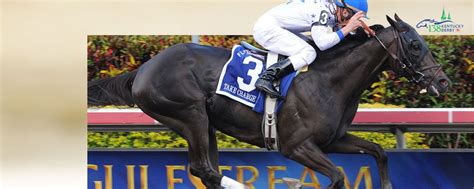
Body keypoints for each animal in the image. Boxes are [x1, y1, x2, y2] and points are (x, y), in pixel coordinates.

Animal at [88, 15, 448, 189]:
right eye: (414, 45)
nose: (443, 81)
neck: (329, 80)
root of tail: (144, 69)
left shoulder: (332, 139)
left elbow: (378, 151)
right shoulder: (296, 146)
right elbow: (337, 177)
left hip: (206, 125)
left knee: (207, 170)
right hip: (189, 115)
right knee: (203, 169)